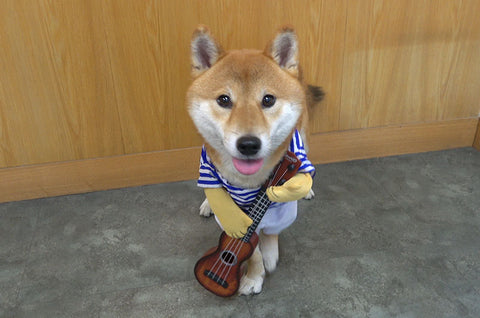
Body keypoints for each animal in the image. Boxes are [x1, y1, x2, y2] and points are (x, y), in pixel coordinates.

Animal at [188, 24, 322, 296]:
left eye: (268, 99)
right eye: (224, 100)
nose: (249, 144)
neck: (247, 182)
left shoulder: (281, 198)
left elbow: (269, 231)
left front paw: (268, 254)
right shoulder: (222, 195)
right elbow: (249, 242)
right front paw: (253, 274)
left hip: (302, 133)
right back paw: (208, 203)